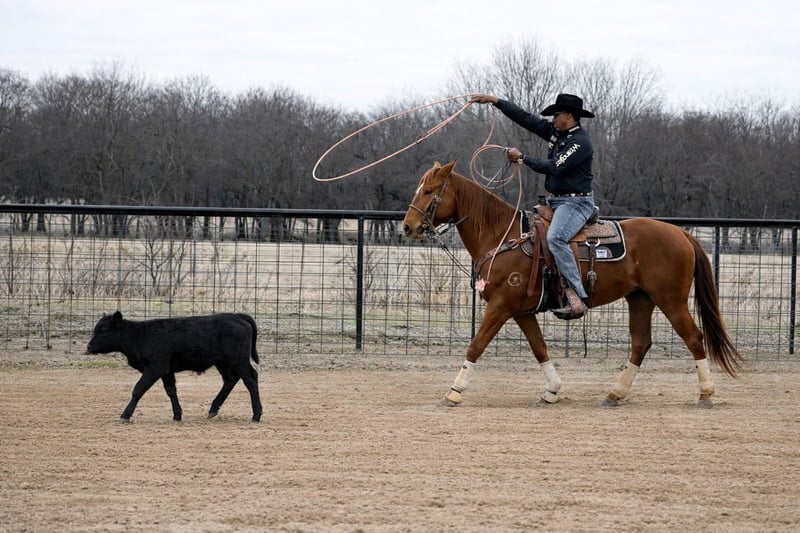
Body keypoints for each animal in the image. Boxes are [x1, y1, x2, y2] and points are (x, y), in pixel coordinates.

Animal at [87, 311, 262, 423]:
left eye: (103, 330)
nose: (89, 347)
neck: (140, 336)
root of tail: (237, 316)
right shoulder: (167, 371)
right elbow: (171, 391)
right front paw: (177, 415)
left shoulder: (155, 368)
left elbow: (138, 389)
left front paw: (125, 415)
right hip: (223, 363)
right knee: (230, 380)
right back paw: (213, 409)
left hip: (238, 361)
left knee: (250, 379)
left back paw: (256, 415)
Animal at [402, 161, 744, 408]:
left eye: (429, 190)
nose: (407, 227)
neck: (503, 236)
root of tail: (681, 233)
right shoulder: (521, 311)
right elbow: (539, 348)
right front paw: (552, 390)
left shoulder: (501, 305)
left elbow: (477, 344)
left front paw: (454, 391)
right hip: (640, 298)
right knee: (640, 344)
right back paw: (614, 394)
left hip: (670, 299)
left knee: (694, 338)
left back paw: (706, 394)